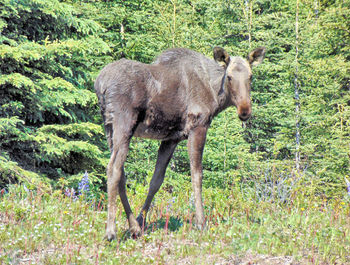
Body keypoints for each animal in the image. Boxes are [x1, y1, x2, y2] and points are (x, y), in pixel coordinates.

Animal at [94, 46, 266, 239]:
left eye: (251, 76)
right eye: (229, 77)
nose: (245, 110)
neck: (216, 95)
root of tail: (100, 84)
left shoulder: (171, 139)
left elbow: (156, 180)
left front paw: (141, 221)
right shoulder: (198, 126)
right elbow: (197, 175)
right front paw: (201, 222)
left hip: (109, 127)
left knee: (121, 173)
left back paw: (133, 227)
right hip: (123, 123)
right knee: (113, 168)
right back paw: (111, 231)